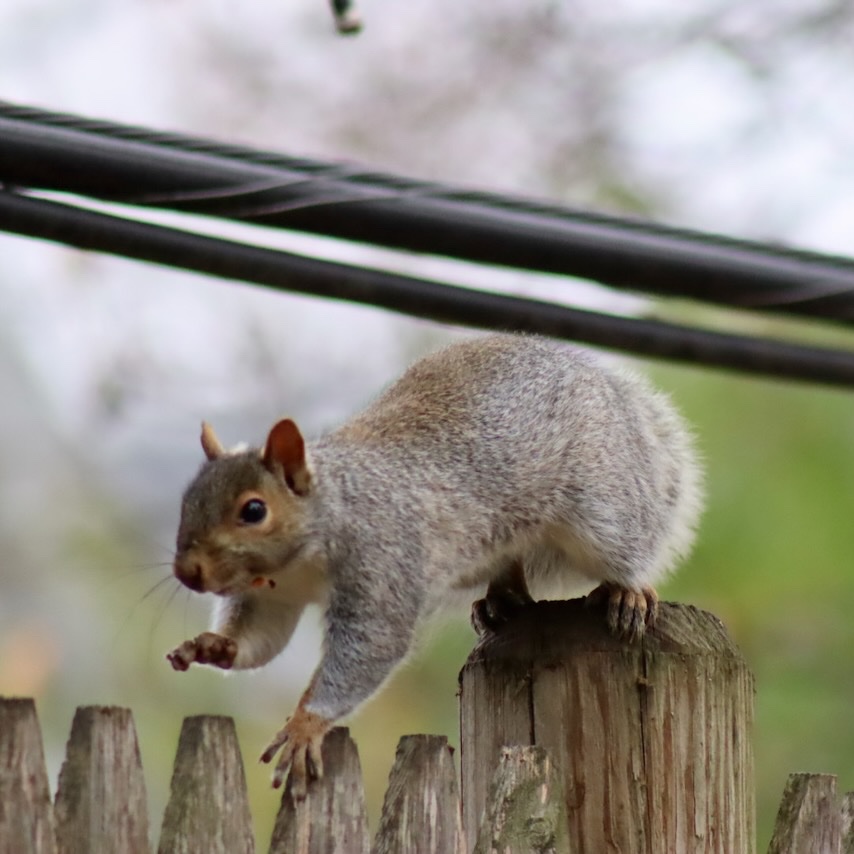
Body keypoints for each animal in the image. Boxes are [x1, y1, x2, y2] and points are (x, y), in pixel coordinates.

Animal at [166, 333, 703, 796]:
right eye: (187, 499)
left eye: (254, 510)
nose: (187, 573)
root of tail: (599, 382)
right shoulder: (272, 595)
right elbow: (261, 638)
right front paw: (213, 645)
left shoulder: (383, 561)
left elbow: (370, 647)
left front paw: (304, 725)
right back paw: (499, 600)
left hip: (601, 507)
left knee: (629, 543)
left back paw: (629, 592)